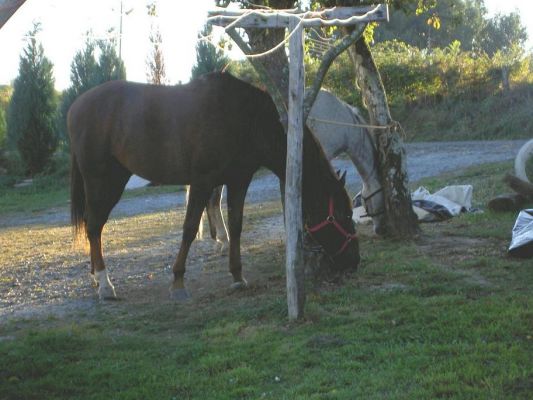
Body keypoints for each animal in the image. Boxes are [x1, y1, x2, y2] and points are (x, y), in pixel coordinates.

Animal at [66, 73, 358, 302]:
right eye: (342, 215)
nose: (353, 262)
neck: (247, 118)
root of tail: (75, 107)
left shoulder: (239, 181)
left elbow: (236, 226)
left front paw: (238, 276)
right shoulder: (202, 182)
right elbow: (189, 229)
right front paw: (178, 282)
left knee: (93, 225)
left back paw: (96, 278)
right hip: (103, 180)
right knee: (94, 226)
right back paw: (105, 285)